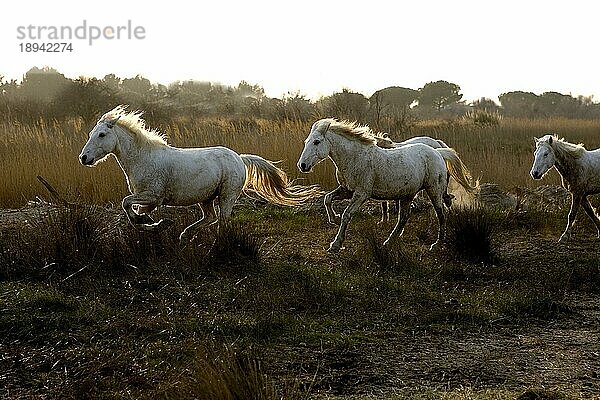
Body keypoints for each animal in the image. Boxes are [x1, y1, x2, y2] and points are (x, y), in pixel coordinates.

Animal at [81, 106, 322, 242]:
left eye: (101, 134)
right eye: (92, 133)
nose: (84, 158)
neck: (143, 158)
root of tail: (239, 157)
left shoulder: (153, 196)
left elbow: (126, 204)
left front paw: (152, 222)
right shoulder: (148, 199)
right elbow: (134, 211)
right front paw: (154, 223)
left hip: (226, 196)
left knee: (222, 221)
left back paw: (216, 245)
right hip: (206, 199)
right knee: (210, 218)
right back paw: (185, 235)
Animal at [296, 117, 478, 252]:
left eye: (317, 142)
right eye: (306, 141)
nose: (302, 165)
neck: (355, 157)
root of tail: (437, 152)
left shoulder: (361, 194)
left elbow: (347, 214)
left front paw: (335, 244)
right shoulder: (347, 190)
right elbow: (327, 198)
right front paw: (334, 219)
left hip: (433, 190)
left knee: (441, 214)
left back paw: (437, 244)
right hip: (407, 195)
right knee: (403, 218)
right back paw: (388, 242)